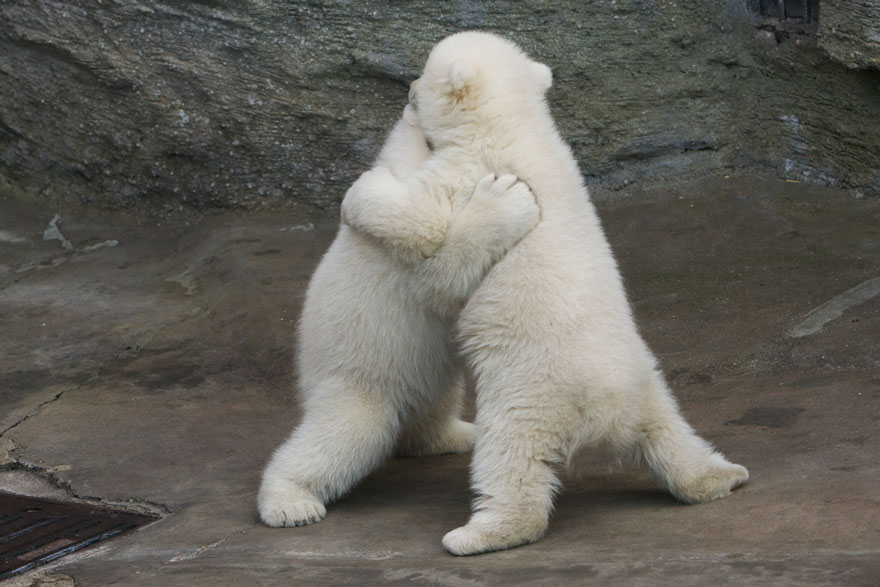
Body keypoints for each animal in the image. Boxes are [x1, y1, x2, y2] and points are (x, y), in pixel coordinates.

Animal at [257, 103, 540, 527]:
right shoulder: (405, 261)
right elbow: (439, 275)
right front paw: (508, 200)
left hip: (422, 375)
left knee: (439, 398)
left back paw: (458, 433)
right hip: (358, 384)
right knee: (343, 435)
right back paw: (289, 503)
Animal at [340, 31, 749, 556]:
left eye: (425, 70)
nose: (408, 88)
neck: (516, 124)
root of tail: (606, 411)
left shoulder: (467, 170)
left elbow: (423, 220)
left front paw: (361, 192)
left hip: (527, 394)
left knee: (510, 462)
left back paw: (476, 534)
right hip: (648, 383)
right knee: (672, 434)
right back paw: (721, 476)